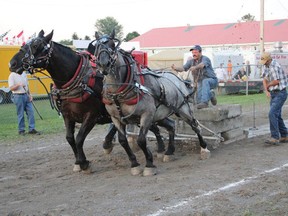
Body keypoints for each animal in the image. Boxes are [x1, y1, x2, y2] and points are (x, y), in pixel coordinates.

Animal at [93, 30, 210, 176]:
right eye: (96, 46)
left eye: (112, 45)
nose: (103, 64)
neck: (118, 93)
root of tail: (178, 79)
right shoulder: (116, 118)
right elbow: (123, 141)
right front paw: (134, 164)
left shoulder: (147, 115)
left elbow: (141, 140)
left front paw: (149, 164)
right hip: (160, 115)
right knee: (171, 126)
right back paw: (169, 152)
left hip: (182, 110)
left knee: (195, 125)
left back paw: (204, 148)